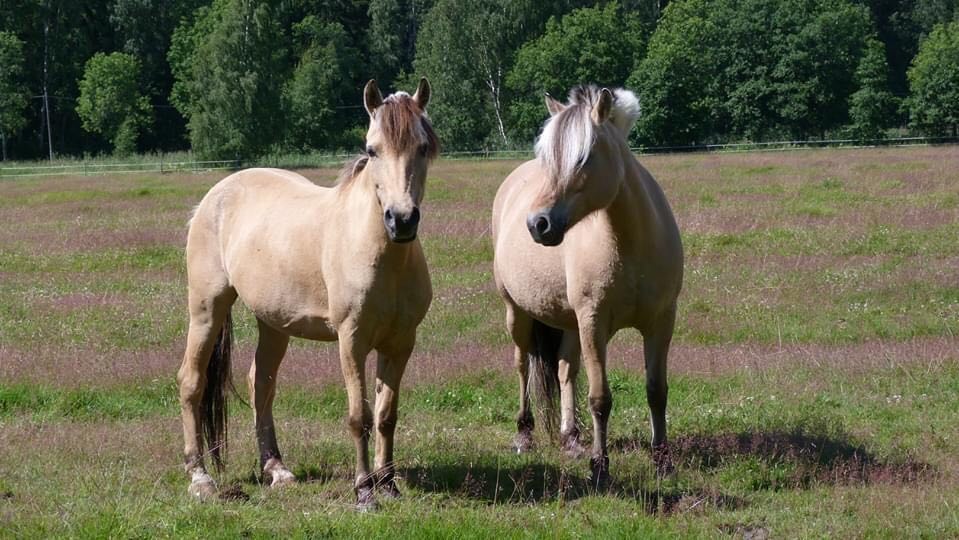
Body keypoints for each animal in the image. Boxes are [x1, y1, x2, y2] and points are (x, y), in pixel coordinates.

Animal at [176, 77, 438, 510]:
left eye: (422, 147)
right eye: (372, 149)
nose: (401, 220)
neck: (380, 254)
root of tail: (214, 196)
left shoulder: (401, 343)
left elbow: (386, 416)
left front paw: (388, 484)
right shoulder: (351, 340)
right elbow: (359, 416)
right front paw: (365, 490)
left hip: (273, 323)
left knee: (261, 384)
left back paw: (276, 469)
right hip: (206, 310)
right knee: (191, 382)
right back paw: (200, 479)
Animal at [496, 84, 684, 486]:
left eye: (584, 157)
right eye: (550, 157)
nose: (538, 224)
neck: (629, 244)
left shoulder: (661, 322)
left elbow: (656, 391)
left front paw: (663, 461)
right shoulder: (593, 324)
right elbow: (600, 398)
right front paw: (600, 467)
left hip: (569, 323)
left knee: (565, 370)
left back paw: (571, 437)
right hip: (517, 314)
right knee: (522, 368)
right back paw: (524, 434)